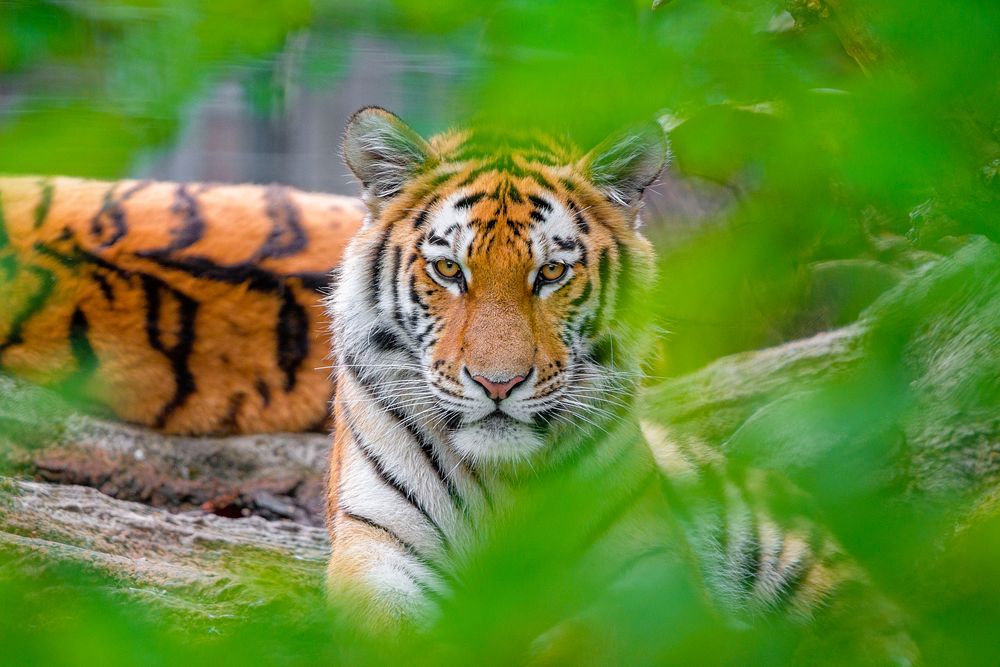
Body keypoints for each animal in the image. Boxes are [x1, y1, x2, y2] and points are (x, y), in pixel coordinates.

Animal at [322, 107, 916, 660]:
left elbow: (593, 640)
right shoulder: (376, 546)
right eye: (448, 269)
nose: (498, 384)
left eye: (552, 273)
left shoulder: (647, 569)